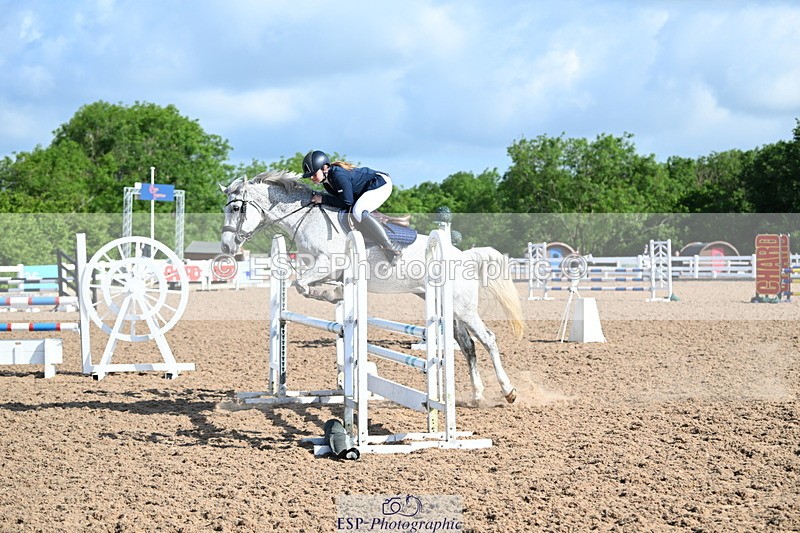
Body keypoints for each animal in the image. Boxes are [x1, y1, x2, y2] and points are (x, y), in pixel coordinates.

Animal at [220, 170, 524, 403]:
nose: (226, 247)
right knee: (467, 344)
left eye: (235, 208)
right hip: (446, 306)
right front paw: (336, 293)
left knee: (488, 339)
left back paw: (508, 391)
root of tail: (465, 255)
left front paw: (334, 293)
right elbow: (303, 284)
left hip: (464, 307)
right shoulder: (320, 267)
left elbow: (300, 284)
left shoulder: (326, 263)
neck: (308, 220)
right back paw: (477, 395)